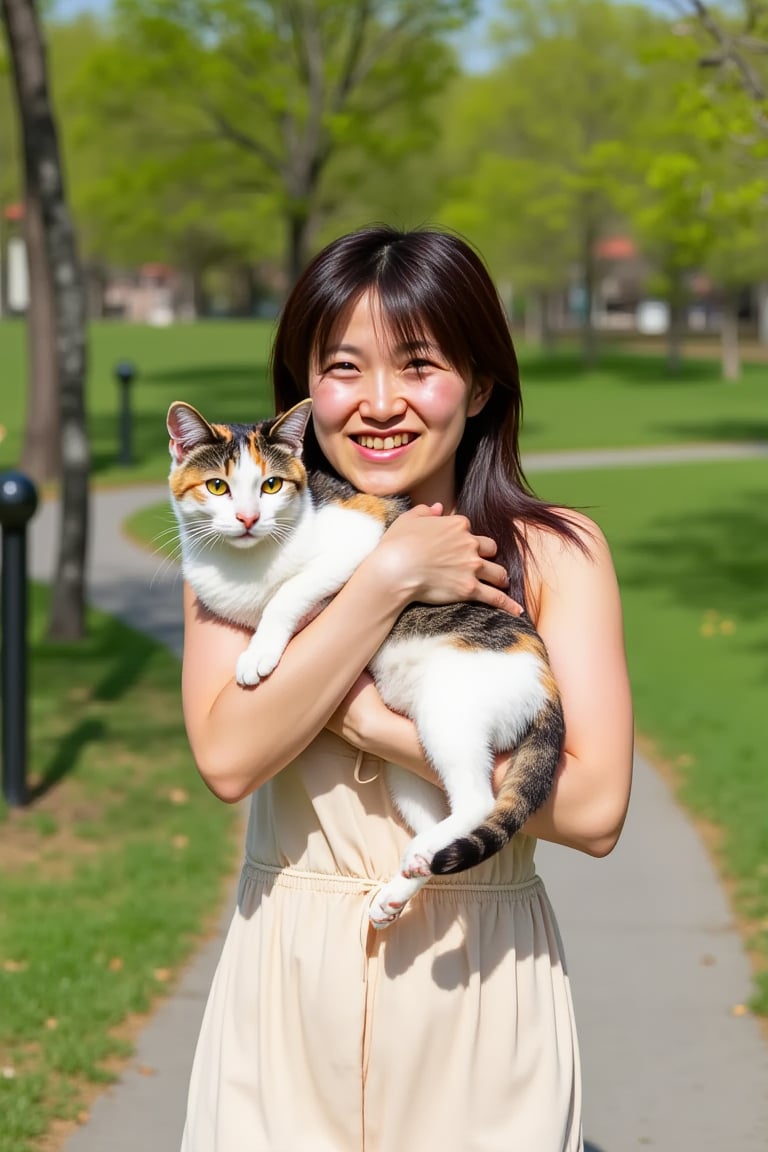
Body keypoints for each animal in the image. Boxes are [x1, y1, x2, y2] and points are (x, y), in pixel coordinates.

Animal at [168, 400, 564, 930]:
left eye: (271, 485)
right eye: (217, 487)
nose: (249, 518)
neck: (248, 563)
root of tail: (547, 688)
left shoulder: (362, 532)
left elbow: (291, 591)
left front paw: (261, 649)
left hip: (449, 709)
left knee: (479, 801)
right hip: (408, 756)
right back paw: (406, 877)